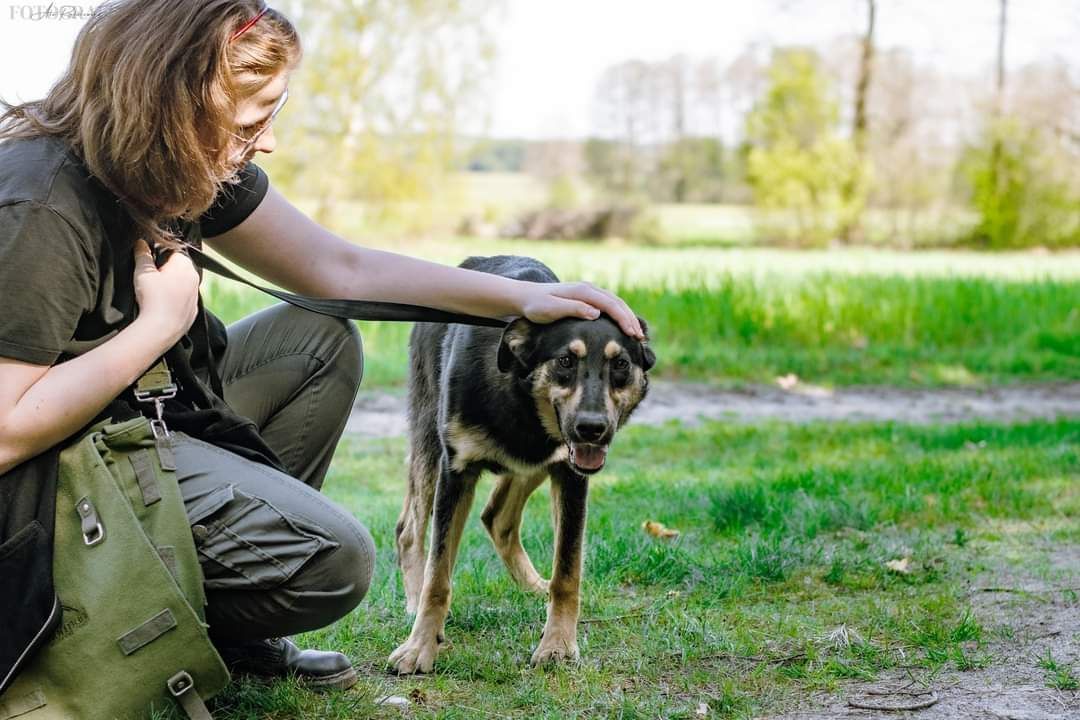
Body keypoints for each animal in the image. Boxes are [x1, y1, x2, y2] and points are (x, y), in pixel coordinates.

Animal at [393, 254, 652, 677]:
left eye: (621, 364)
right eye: (565, 360)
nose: (592, 429)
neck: (517, 388)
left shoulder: (568, 472)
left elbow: (567, 570)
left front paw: (558, 644)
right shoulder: (456, 470)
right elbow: (438, 574)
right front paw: (419, 647)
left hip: (535, 464)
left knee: (497, 517)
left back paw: (534, 587)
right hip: (429, 439)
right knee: (410, 532)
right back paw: (414, 602)